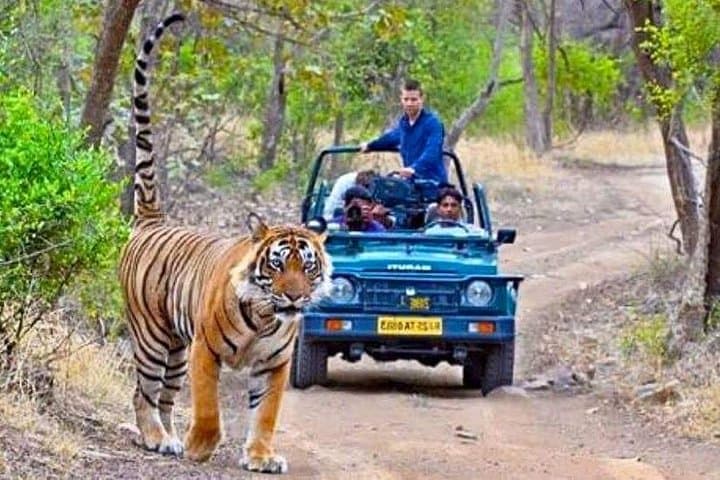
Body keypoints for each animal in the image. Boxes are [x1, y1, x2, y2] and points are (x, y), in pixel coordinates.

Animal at [118, 13, 332, 474]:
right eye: (277, 265)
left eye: (307, 267)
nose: (294, 297)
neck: (267, 316)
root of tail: (152, 220)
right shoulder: (206, 350)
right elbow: (209, 407)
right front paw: (201, 447)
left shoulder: (274, 365)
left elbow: (265, 414)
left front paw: (261, 456)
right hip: (152, 336)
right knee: (143, 391)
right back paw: (157, 437)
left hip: (176, 350)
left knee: (165, 397)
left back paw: (168, 439)